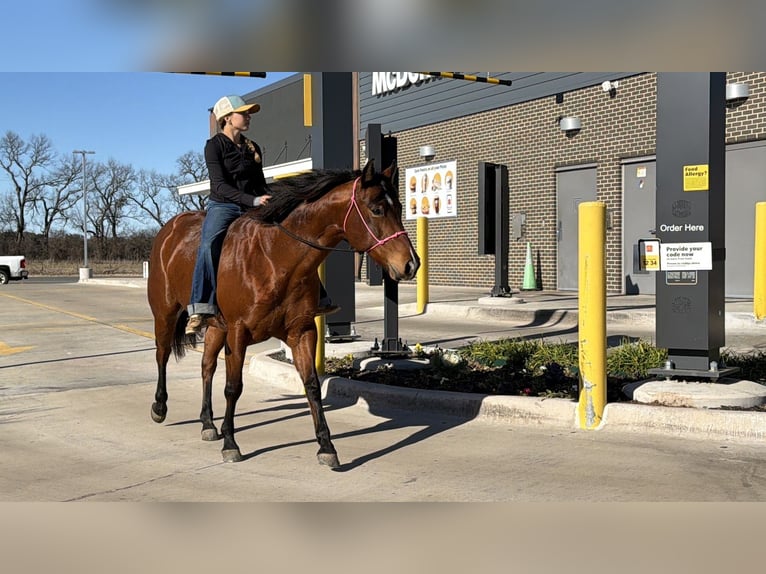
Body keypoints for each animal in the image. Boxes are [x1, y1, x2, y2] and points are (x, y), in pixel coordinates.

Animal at [147, 161, 419, 468]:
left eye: (399, 206)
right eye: (376, 209)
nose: (411, 264)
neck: (275, 257)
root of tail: (169, 230)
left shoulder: (301, 331)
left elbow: (312, 385)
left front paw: (326, 446)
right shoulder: (238, 332)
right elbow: (233, 386)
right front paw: (231, 443)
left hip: (216, 327)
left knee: (207, 366)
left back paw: (207, 423)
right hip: (165, 314)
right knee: (162, 354)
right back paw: (160, 406)